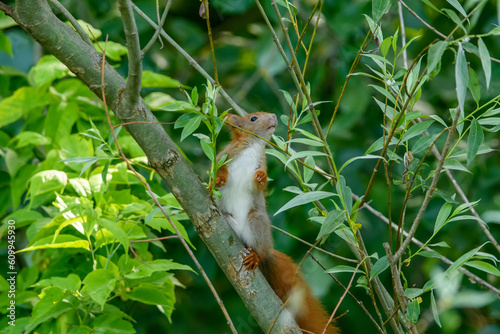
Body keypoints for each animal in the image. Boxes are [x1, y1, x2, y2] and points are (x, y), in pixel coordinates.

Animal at [216, 113, 338, 334]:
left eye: (266, 115)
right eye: (253, 118)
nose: (273, 116)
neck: (253, 147)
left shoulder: (261, 163)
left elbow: (260, 183)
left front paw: (261, 178)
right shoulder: (226, 154)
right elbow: (218, 169)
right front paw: (218, 180)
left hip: (256, 221)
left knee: (260, 249)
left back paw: (256, 255)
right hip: (229, 218)